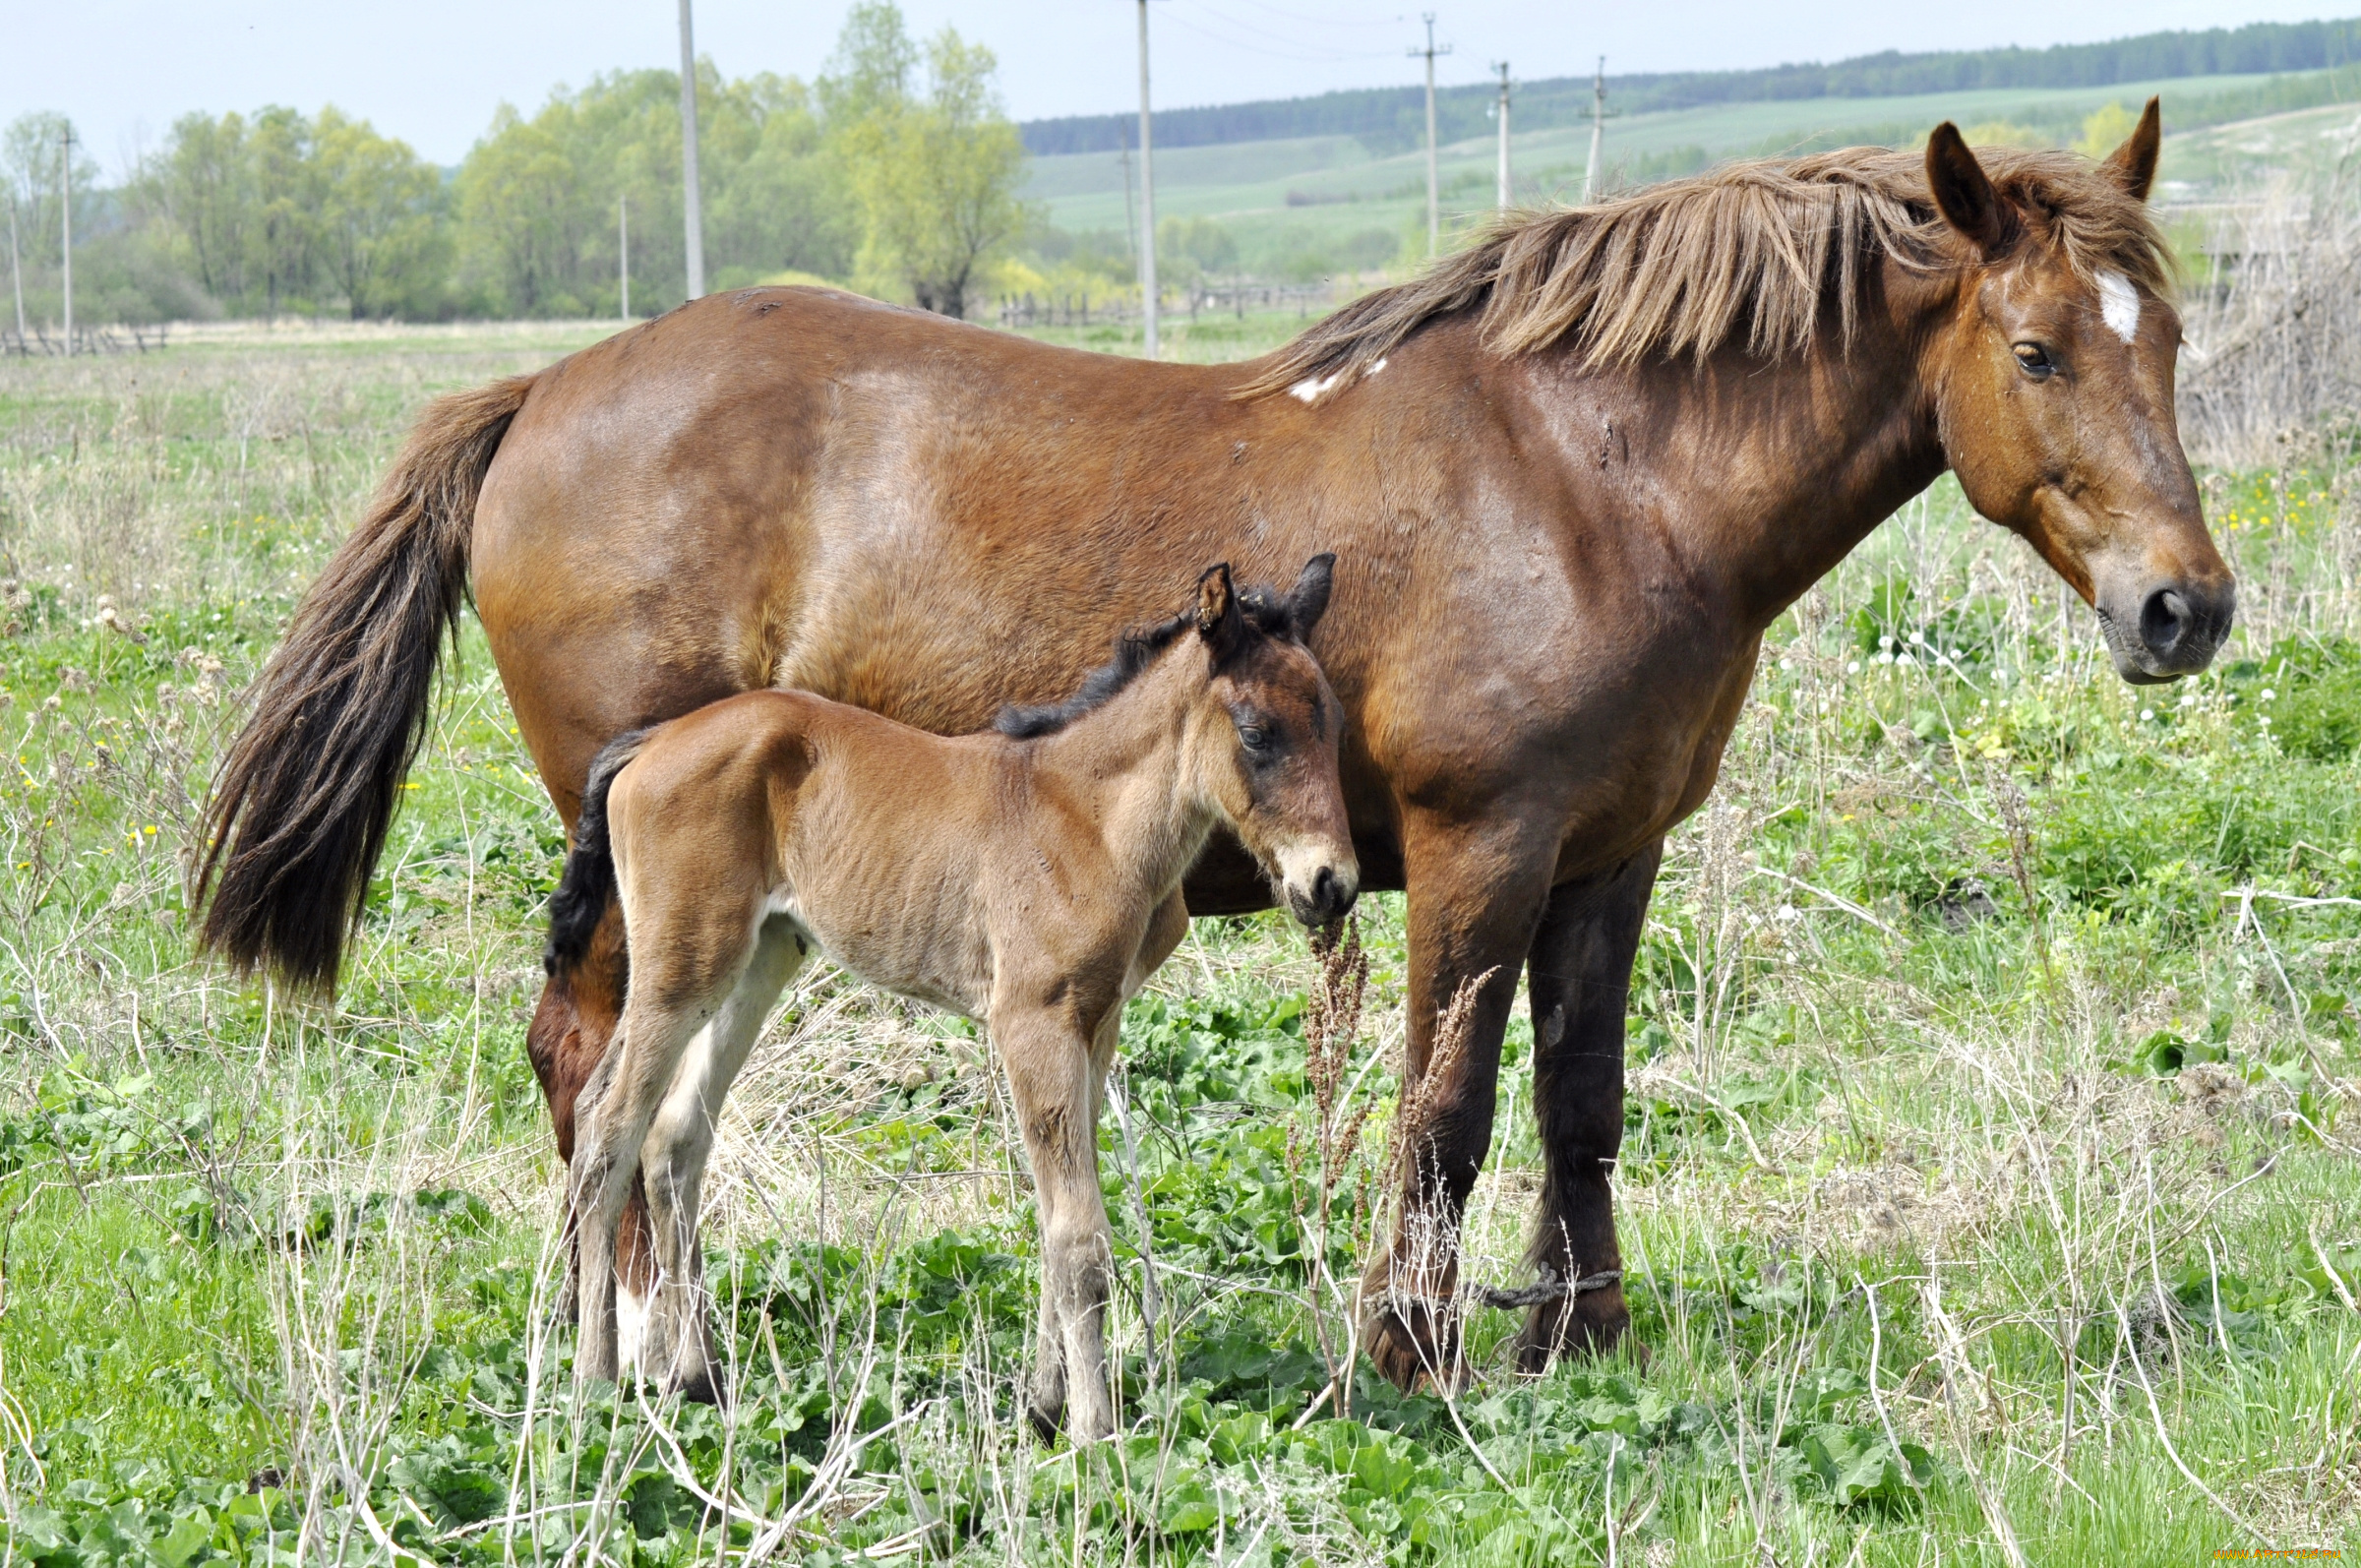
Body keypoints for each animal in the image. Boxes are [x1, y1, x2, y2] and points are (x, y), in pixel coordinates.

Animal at [547, 564, 1350, 1435]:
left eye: (1331, 721)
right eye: (1257, 732)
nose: (1331, 884)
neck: (1087, 818)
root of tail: (652, 742)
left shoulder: (1097, 1023)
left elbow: (1055, 1211)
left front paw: (1043, 1405)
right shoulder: (1033, 1023)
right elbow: (1078, 1235)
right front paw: (1094, 1435)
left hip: (758, 960)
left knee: (674, 1136)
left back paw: (697, 1380)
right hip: (680, 968)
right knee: (607, 1131)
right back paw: (594, 1381)